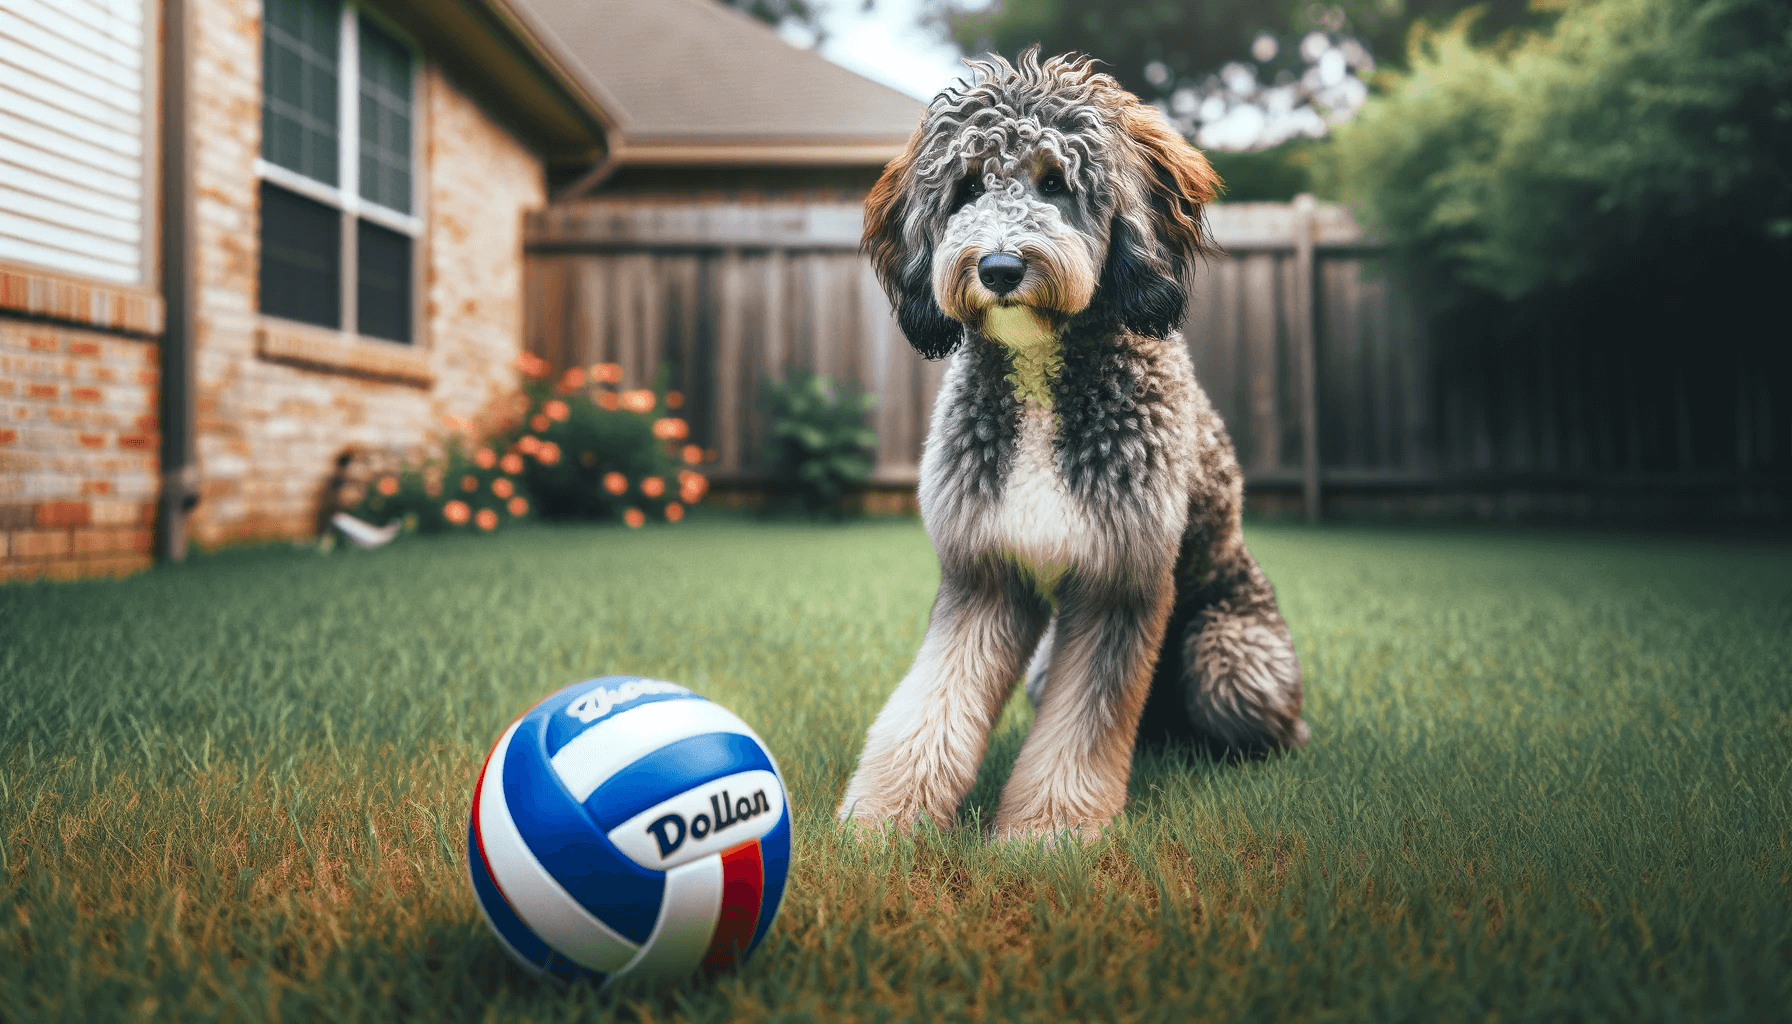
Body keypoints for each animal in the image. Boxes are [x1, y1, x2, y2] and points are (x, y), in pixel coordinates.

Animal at [831, 49, 1311, 842]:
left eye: (1055, 181)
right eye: (967, 187)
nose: (998, 267)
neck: (1041, 375)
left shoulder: (1121, 579)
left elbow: (1082, 728)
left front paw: (1046, 835)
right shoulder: (986, 570)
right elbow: (930, 702)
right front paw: (883, 822)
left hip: (1231, 657)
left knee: (1261, 723)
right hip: (1046, 662)